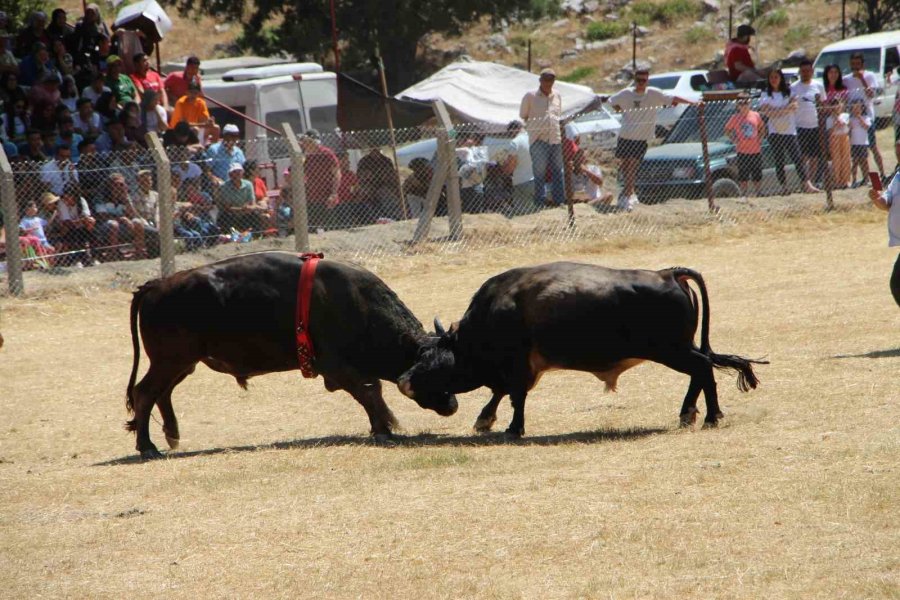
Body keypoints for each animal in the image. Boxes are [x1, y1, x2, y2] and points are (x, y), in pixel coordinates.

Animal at [125, 253, 458, 460]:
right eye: (434, 372)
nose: (452, 405)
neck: (354, 302)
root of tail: (156, 285)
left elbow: (370, 391)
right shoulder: (337, 367)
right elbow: (370, 392)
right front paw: (384, 429)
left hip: (182, 364)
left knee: (161, 393)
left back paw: (171, 434)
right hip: (170, 362)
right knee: (145, 393)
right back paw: (148, 447)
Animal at [398, 262, 764, 436]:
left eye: (432, 360)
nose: (404, 381)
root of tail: (668, 273)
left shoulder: (518, 365)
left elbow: (514, 395)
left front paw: (513, 428)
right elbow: (502, 392)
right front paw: (485, 420)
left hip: (672, 350)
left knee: (702, 369)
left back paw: (711, 416)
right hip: (678, 349)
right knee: (700, 370)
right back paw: (689, 413)